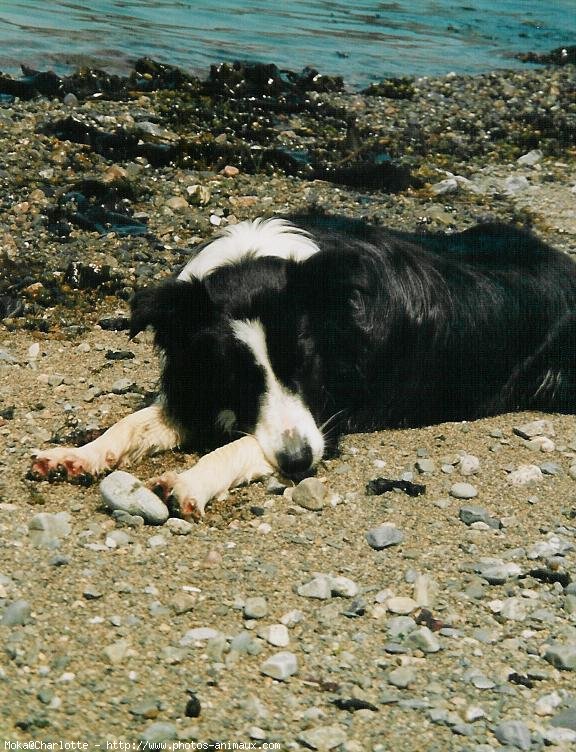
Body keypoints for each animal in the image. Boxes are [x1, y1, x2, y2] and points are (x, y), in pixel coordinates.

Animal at [29, 212, 576, 516]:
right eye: (236, 376)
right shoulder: (200, 384)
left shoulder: (331, 413)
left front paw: (191, 481)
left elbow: (243, 445)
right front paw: (77, 454)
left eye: (307, 362)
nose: (297, 465)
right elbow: (132, 424)